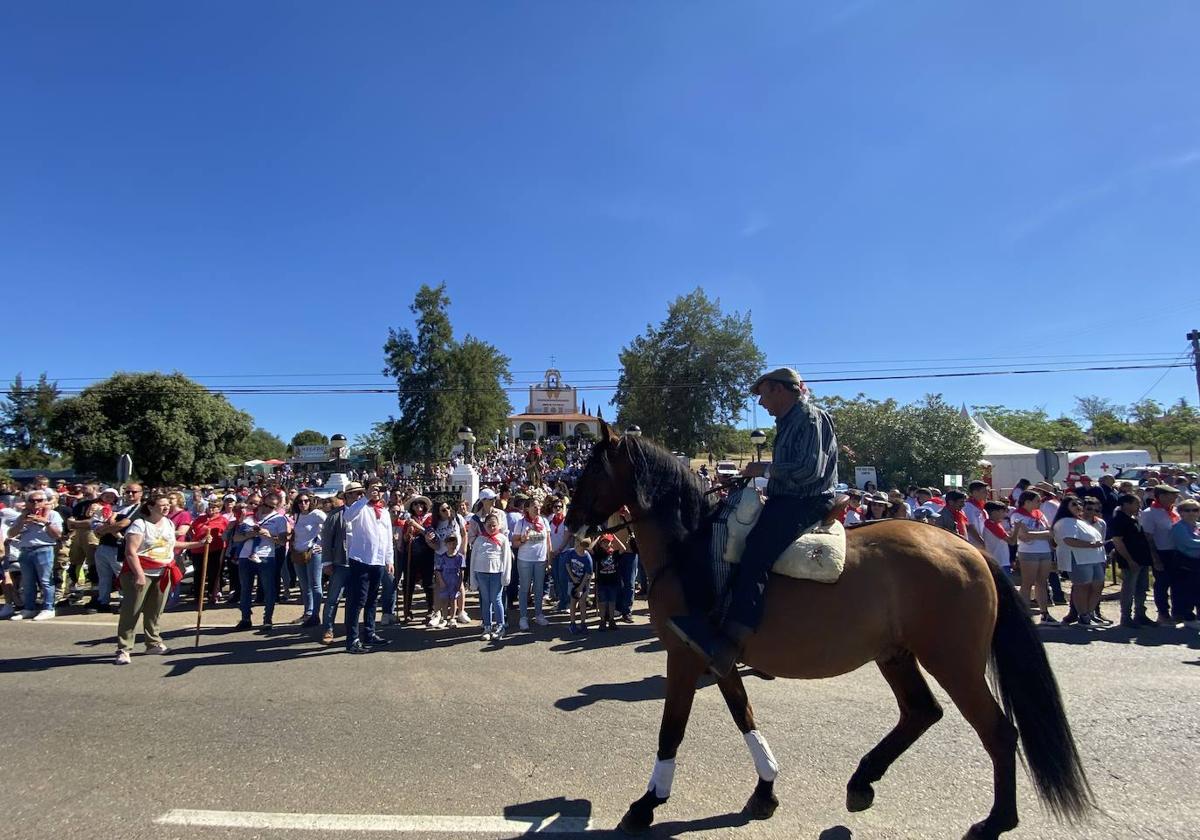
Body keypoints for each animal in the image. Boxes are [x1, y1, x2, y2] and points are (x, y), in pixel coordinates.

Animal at [566, 427, 1094, 840]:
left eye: (591, 471)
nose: (571, 523)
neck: (690, 550)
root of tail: (970, 549)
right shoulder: (717, 656)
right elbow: (744, 716)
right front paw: (765, 789)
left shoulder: (685, 655)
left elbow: (671, 730)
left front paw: (647, 803)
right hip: (897, 654)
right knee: (921, 712)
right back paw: (863, 781)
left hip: (953, 661)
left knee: (998, 732)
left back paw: (996, 820)